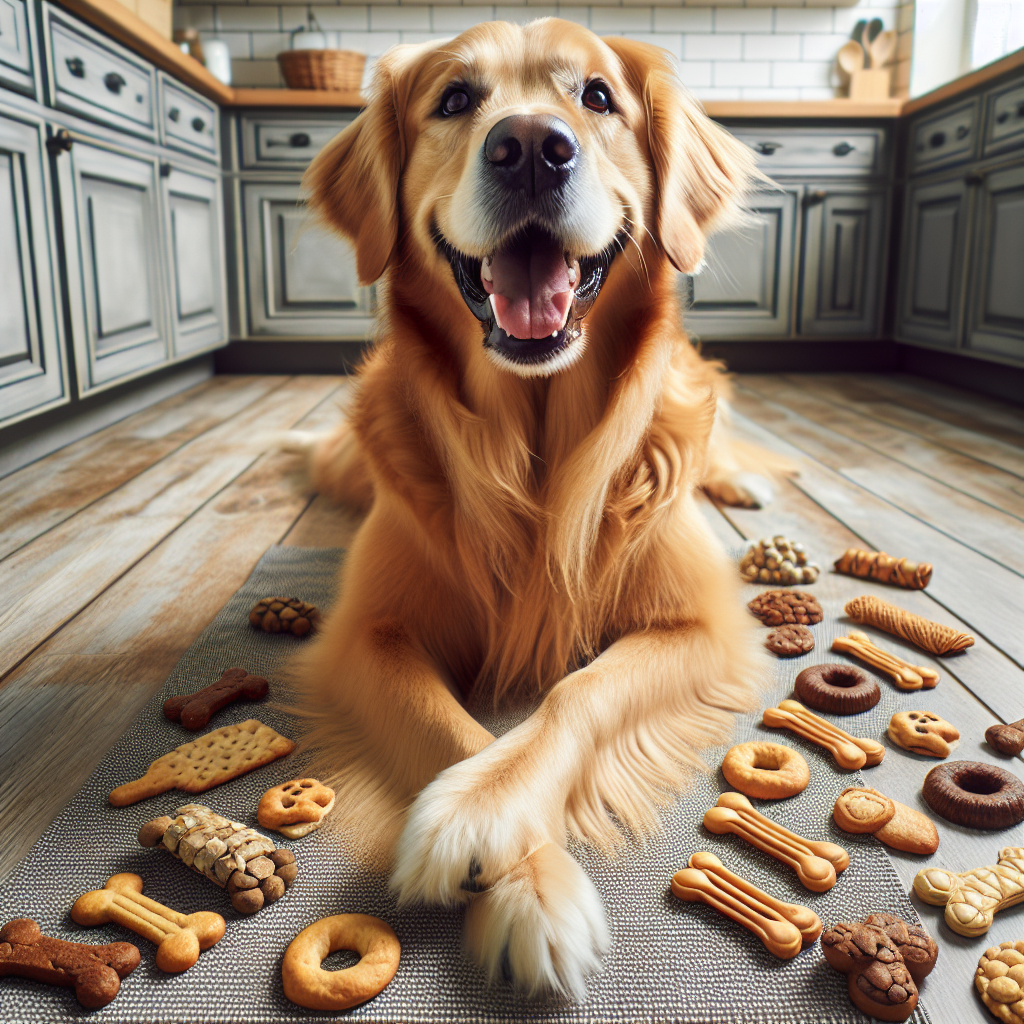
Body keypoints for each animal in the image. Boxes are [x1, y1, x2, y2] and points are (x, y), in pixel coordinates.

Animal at [292, 22, 770, 999]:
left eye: (597, 97)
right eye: (452, 100)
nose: (530, 148)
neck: (539, 442)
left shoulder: (701, 626)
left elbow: (577, 692)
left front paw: (484, 817)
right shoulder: (368, 634)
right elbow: (448, 726)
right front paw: (526, 877)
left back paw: (742, 482)